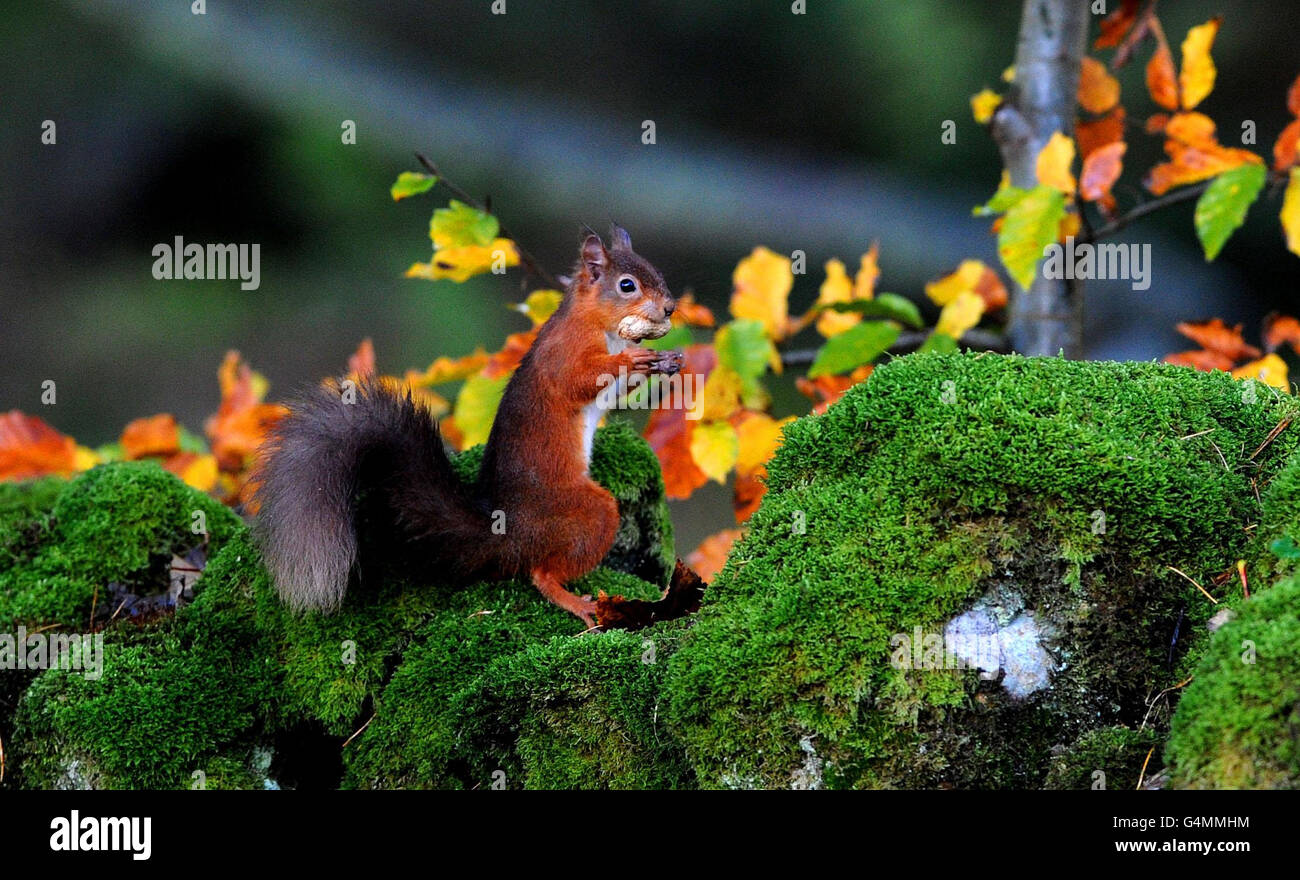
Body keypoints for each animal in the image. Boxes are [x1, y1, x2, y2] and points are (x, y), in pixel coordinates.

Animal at [252, 225, 683, 628]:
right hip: (588, 511)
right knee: (540, 573)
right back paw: (575, 601)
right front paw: (634, 360)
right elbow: (578, 379)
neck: (600, 324)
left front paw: (665, 362)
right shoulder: (567, 352)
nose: (669, 308)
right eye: (626, 285)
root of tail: (510, 530)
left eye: (658, 273)